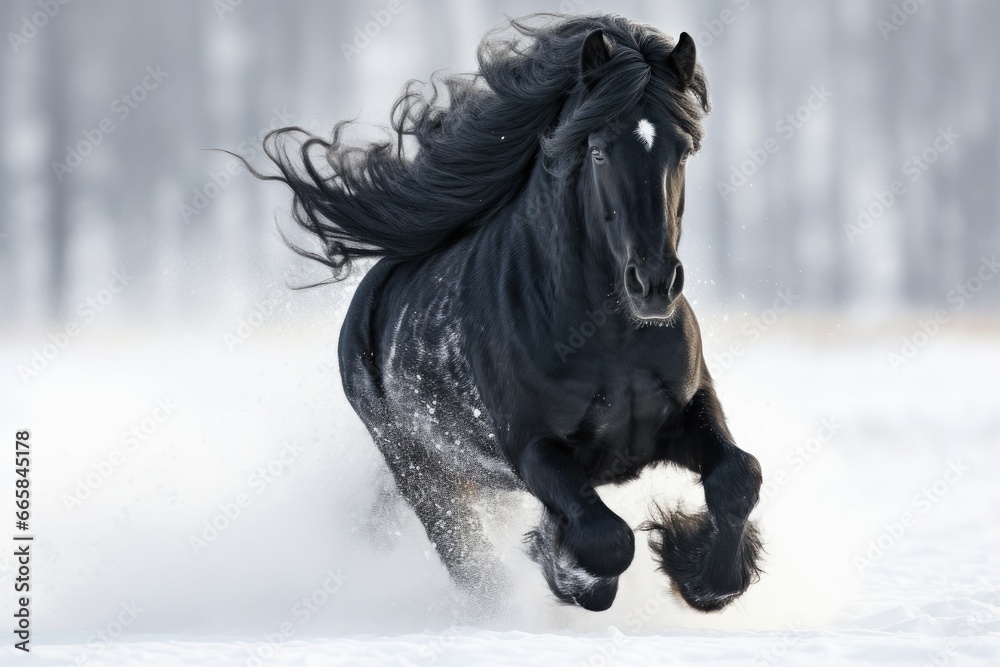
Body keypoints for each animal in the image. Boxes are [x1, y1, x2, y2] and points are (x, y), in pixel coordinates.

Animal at [255, 13, 763, 613]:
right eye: (597, 150)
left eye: (682, 151)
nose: (654, 284)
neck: (611, 340)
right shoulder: (534, 451)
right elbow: (606, 539)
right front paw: (566, 567)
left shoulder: (690, 406)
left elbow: (738, 477)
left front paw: (705, 575)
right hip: (424, 476)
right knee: (473, 568)